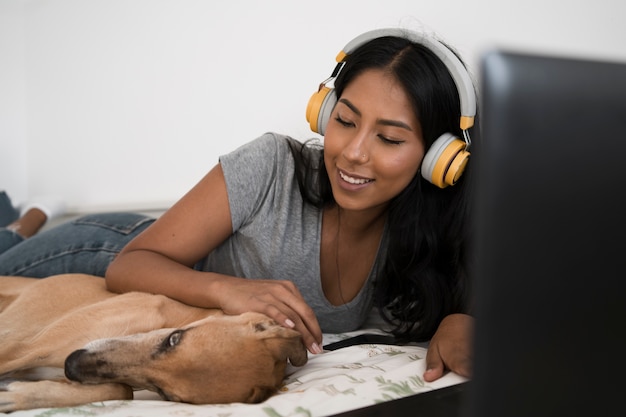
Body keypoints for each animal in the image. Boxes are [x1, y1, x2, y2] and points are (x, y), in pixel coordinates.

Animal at [0, 272, 308, 412]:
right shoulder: (20, 348)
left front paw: (18, 395)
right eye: (174, 339)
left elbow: (121, 390)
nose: (72, 364)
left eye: (164, 394)